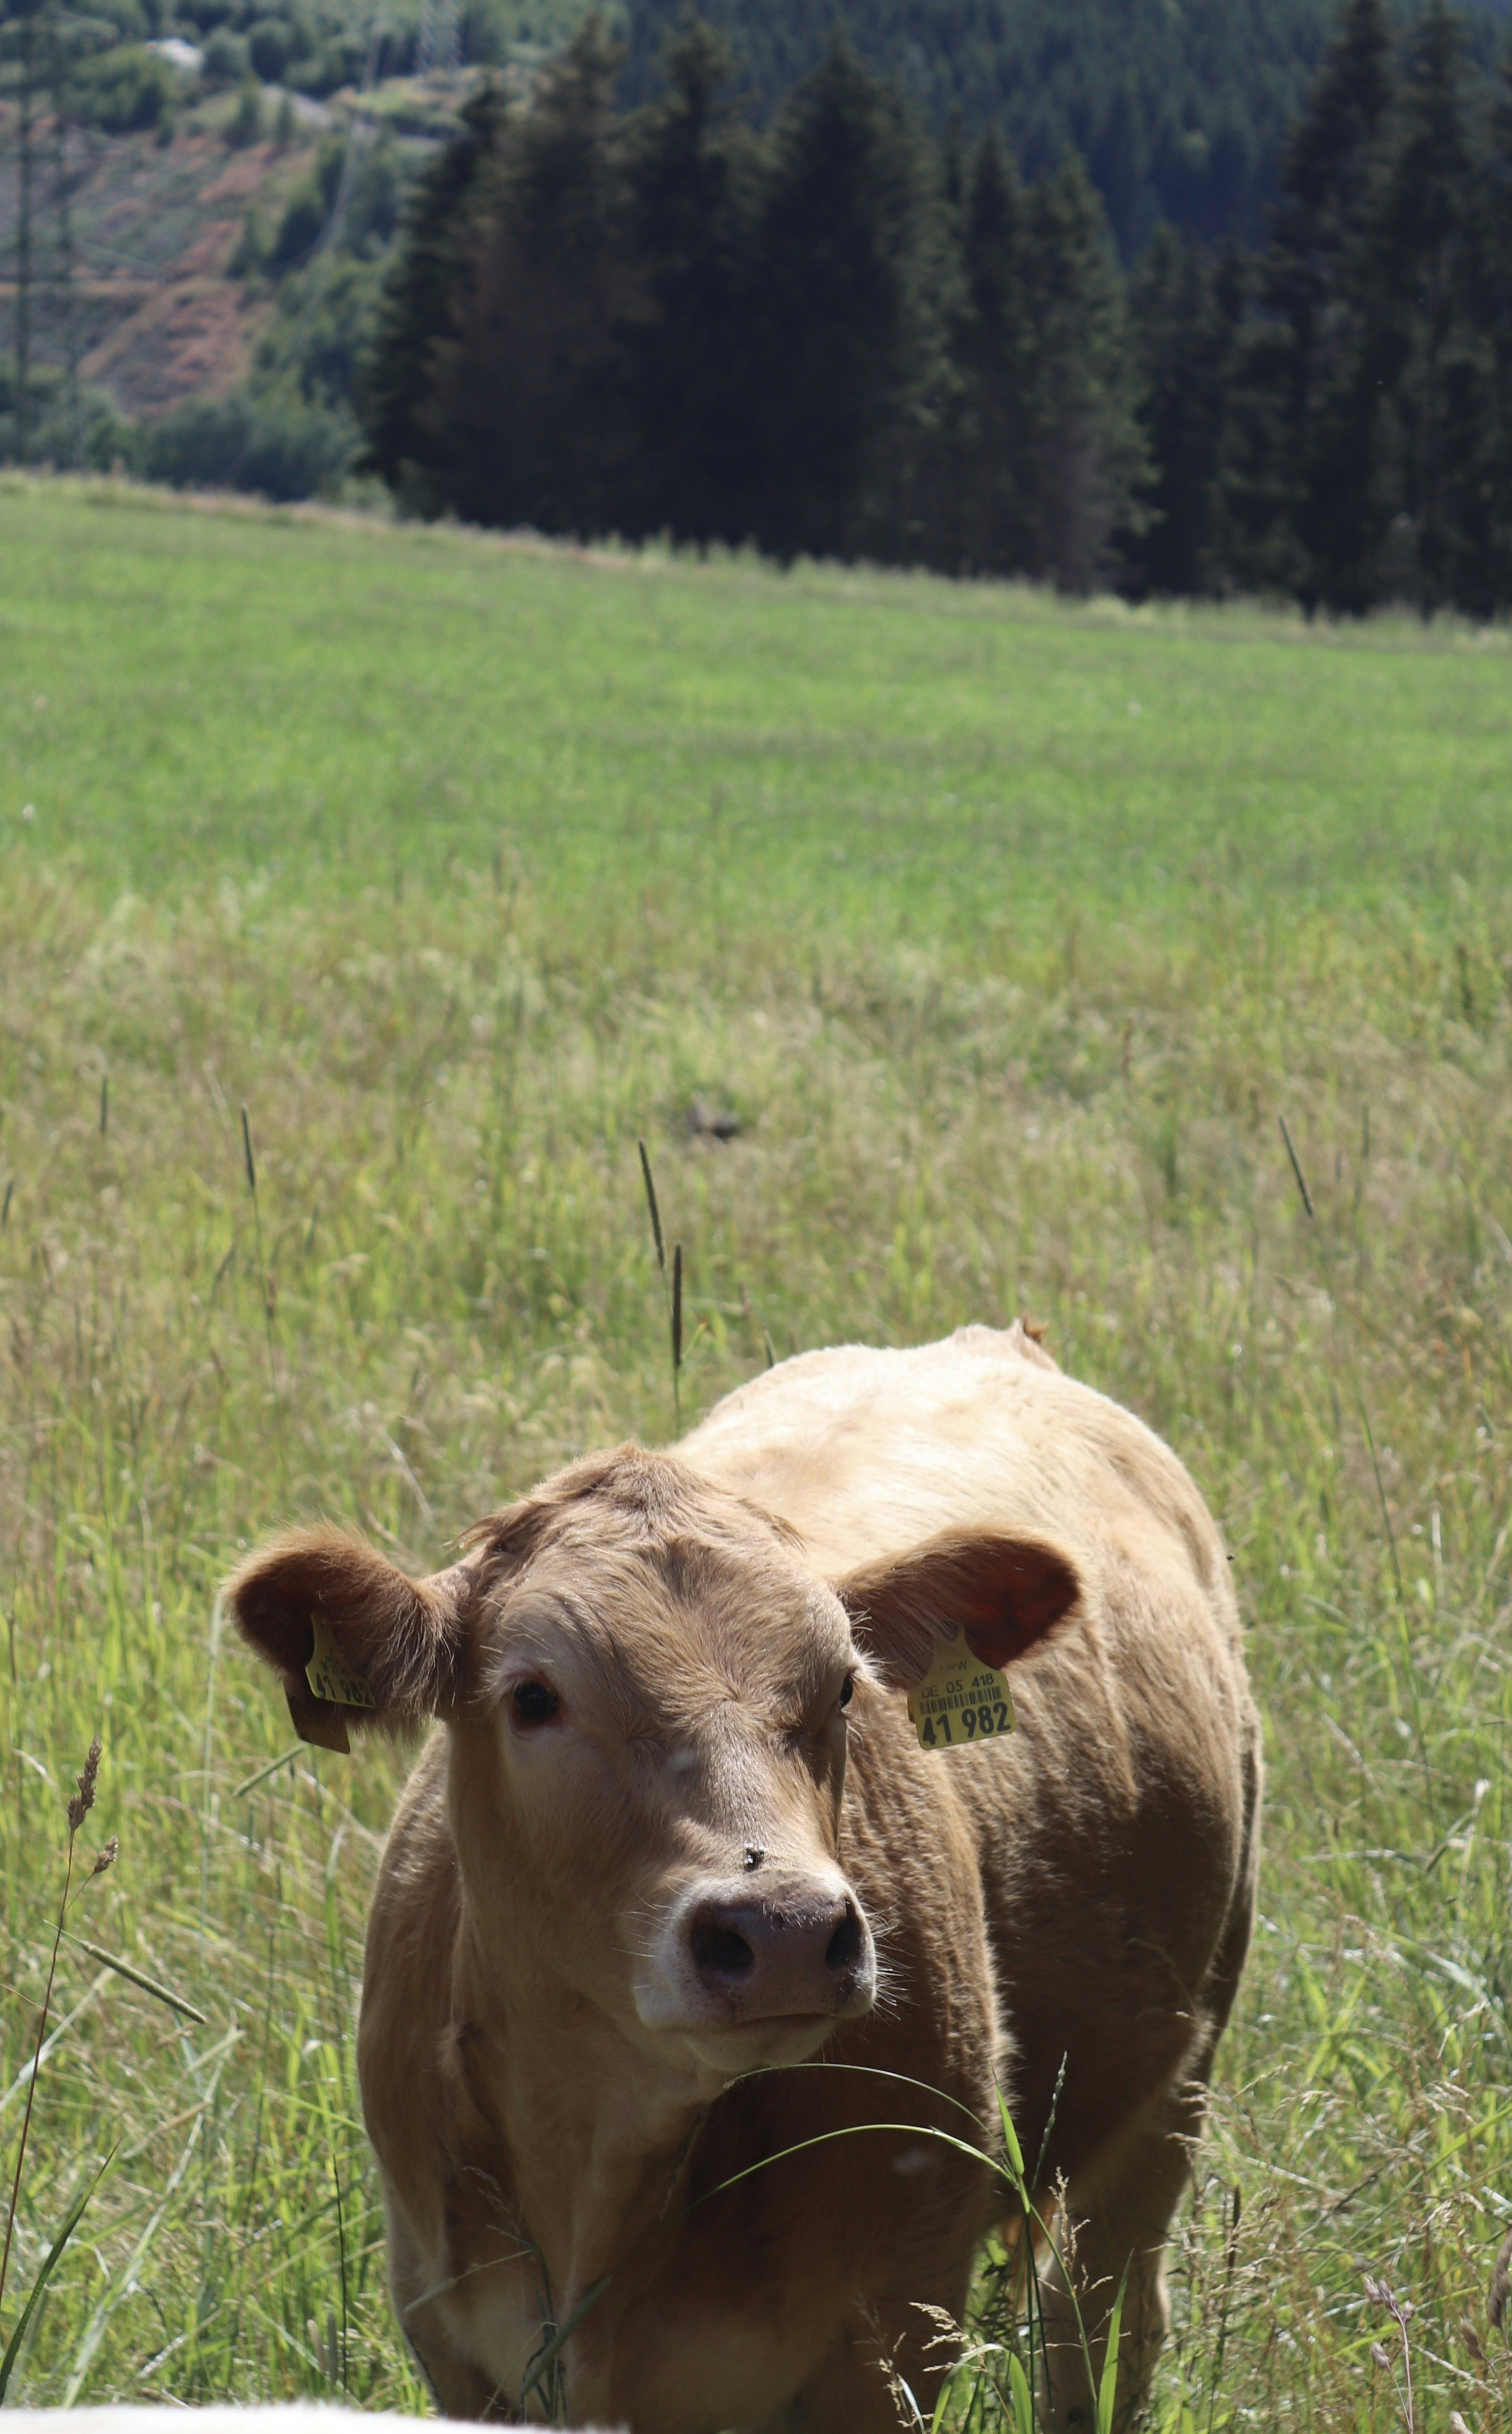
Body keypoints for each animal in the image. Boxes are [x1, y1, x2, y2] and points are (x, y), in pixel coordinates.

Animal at [229, 1321, 1260, 2432]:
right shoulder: (444, 2317)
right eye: (533, 1695)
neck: (604, 2167)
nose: (783, 1932)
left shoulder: (894, 2325)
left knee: (1101, 2320)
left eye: (845, 1685)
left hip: (1182, 2057)